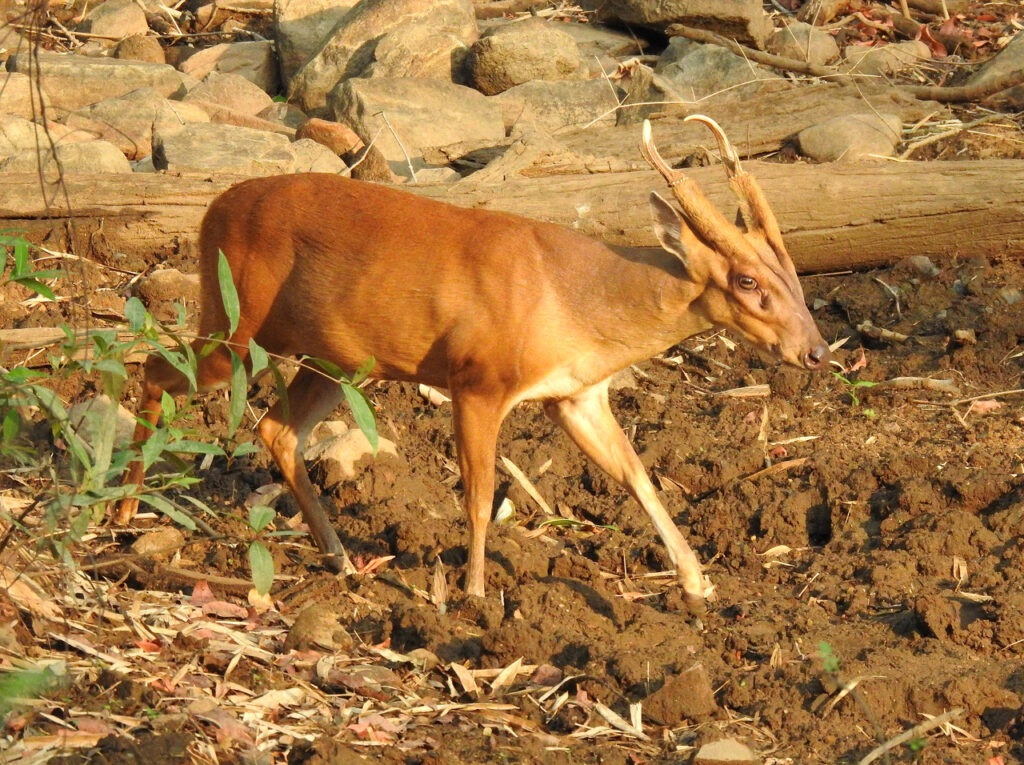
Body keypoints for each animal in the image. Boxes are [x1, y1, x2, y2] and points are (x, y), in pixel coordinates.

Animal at [115, 116, 829, 615]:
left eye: (793, 274)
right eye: (746, 282)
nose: (816, 351)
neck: (575, 297)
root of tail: (211, 210)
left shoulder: (575, 395)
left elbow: (638, 477)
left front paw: (698, 582)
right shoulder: (477, 381)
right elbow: (481, 495)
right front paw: (476, 594)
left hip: (338, 360)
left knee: (276, 430)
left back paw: (339, 558)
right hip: (233, 320)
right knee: (155, 368)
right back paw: (122, 515)